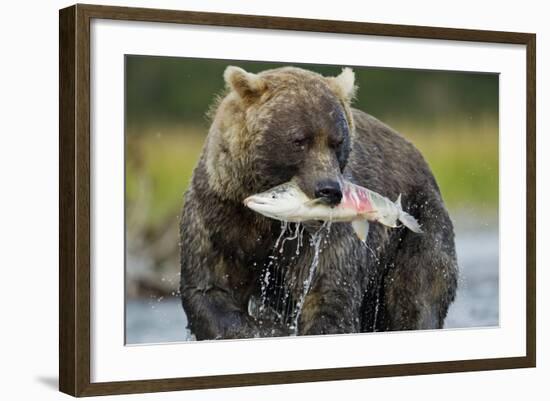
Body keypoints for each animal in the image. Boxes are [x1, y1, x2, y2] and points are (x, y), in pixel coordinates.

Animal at [179, 65, 460, 338]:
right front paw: (270, 329)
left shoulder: (325, 236)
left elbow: (328, 294)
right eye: (299, 140)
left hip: (418, 223)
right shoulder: (219, 214)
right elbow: (211, 289)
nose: (329, 189)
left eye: (337, 142)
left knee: (416, 293)